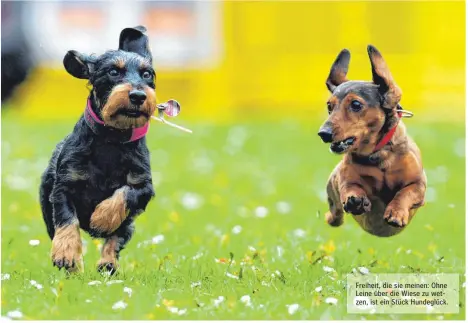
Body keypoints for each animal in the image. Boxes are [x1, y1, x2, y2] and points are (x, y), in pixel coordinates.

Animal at [39, 26, 156, 274]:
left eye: (147, 74)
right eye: (113, 71)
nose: (138, 96)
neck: (111, 140)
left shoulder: (144, 186)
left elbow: (125, 193)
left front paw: (102, 218)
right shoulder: (64, 185)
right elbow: (67, 219)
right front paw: (66, 255)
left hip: (130, 223)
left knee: (117, 239)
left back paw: (108, 263)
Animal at [320, 45, 426, 238]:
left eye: (355, 104)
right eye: (329, 106)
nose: (323, 133)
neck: (377, 155)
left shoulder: (418, 184)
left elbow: (405, 193)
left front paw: (396, 212)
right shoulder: (345, 180)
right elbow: (350, 187)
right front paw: (355, 200)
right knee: (335, 213)